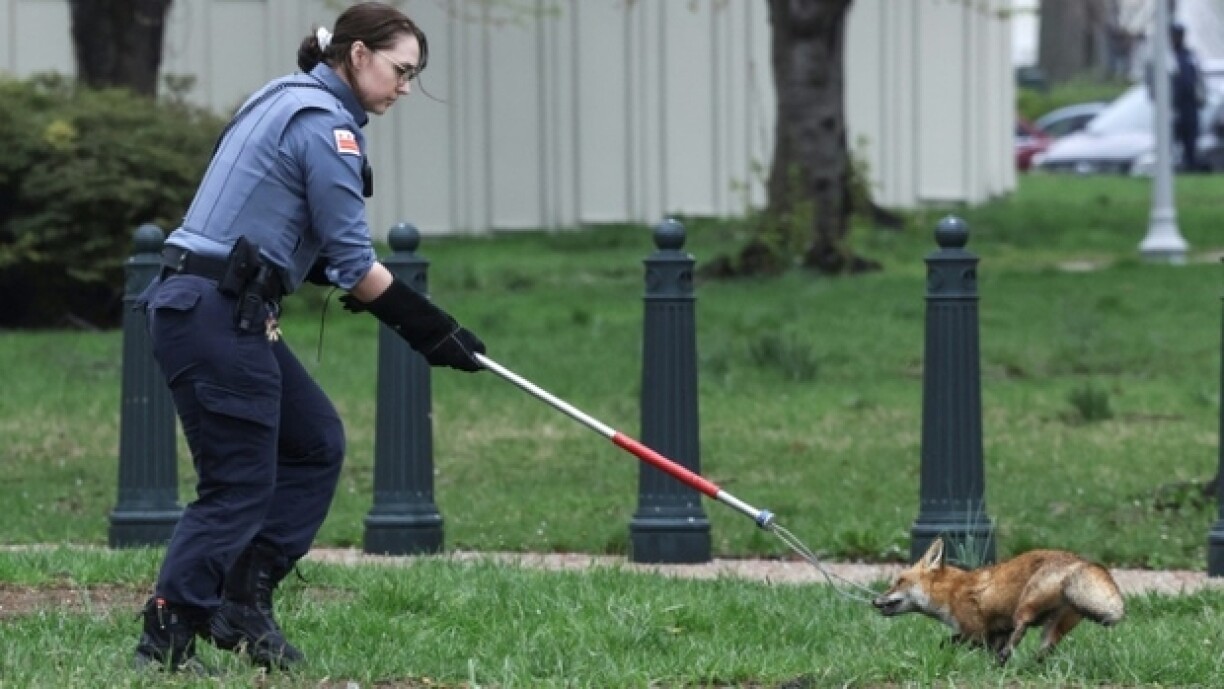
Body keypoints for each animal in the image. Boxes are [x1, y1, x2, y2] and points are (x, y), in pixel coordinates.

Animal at [872, 537, 1124, 665]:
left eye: (899, 581)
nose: (874, 601)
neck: (950, 592)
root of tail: (1079, 561)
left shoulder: (976, 631)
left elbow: (950, 642)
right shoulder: (996, 632)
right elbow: (970, 646)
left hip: (1026, 603)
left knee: (1022, 627)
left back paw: (1010, 658)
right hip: (1055, 627)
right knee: (1043, 649)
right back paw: (1028, 666)